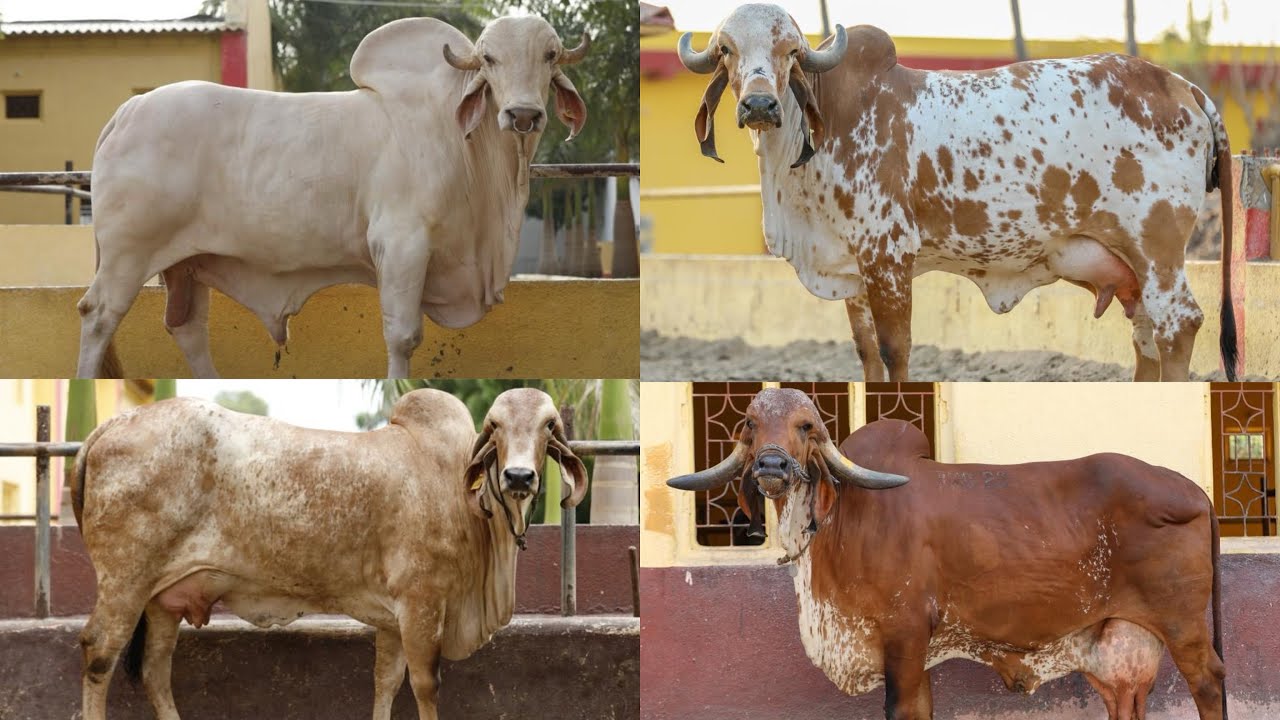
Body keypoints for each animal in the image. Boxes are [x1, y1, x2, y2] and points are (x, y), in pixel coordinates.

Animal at [69, 388, 588, 720]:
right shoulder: (421, 604)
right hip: (125, 582)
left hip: (162, 599)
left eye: (548, 426)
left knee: (155, 672)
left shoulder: (393, 620)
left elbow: (385, 683)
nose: (518, 477)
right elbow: (425, 685)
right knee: (99, 654)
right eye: (494, 426)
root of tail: (111, 424)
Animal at [76, 15, 590, 379]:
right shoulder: (401, 245)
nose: (522, 114)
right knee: (98, 315)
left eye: (549, 55)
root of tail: (127, 110)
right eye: (489, 59)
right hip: (129, 254)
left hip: (186, 263)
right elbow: (403, 337)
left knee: (188, 329)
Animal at [667, 388, 1226, 720]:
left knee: (1210, 683)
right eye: (749, 424)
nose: (772, 466)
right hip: (1114, 645)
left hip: (1183, 627)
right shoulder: (915, 654)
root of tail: (1196, 492)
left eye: (806, 425)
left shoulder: (904, 639)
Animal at [678, 4, 1238, 382]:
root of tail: (1182, 86)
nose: (759, 105)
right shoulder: (852, 270)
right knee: (1146, 335)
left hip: (1157, 248)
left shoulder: (888, 256)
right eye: (726, 50)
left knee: (1178, 325)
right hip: (1133, 268)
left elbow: (894, 349)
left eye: (790, 52)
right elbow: (866, 353)